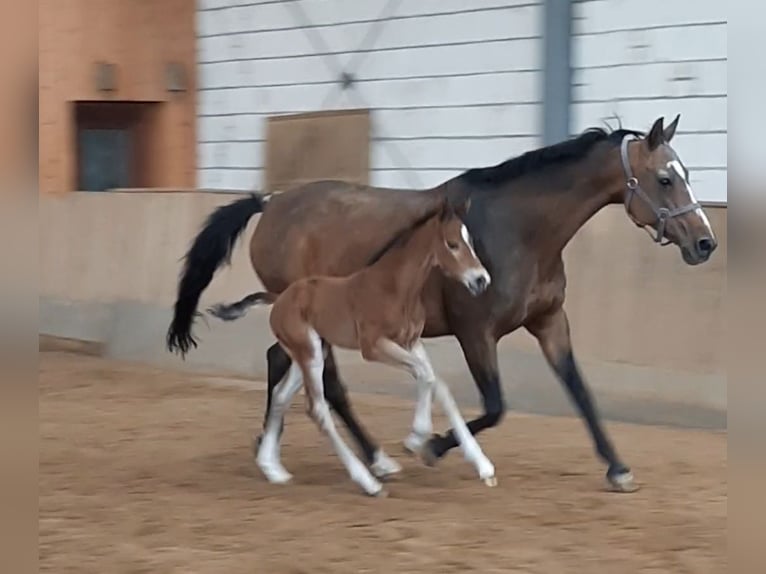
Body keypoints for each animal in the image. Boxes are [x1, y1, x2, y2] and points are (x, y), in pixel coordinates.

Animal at [213, 200, 496, 498]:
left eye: (471, 242)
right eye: (452, 244)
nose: (481, 280)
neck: (394, 287)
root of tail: (279, 298)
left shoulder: (411, 342)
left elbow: (435, 380)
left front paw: (482, 466)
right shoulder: (373, 346)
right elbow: (425, 374)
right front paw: (416, 437)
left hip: (311, 354)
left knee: (281, 395)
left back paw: (273, 469)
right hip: (310, 354)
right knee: (317, 408)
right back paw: (368, 482)